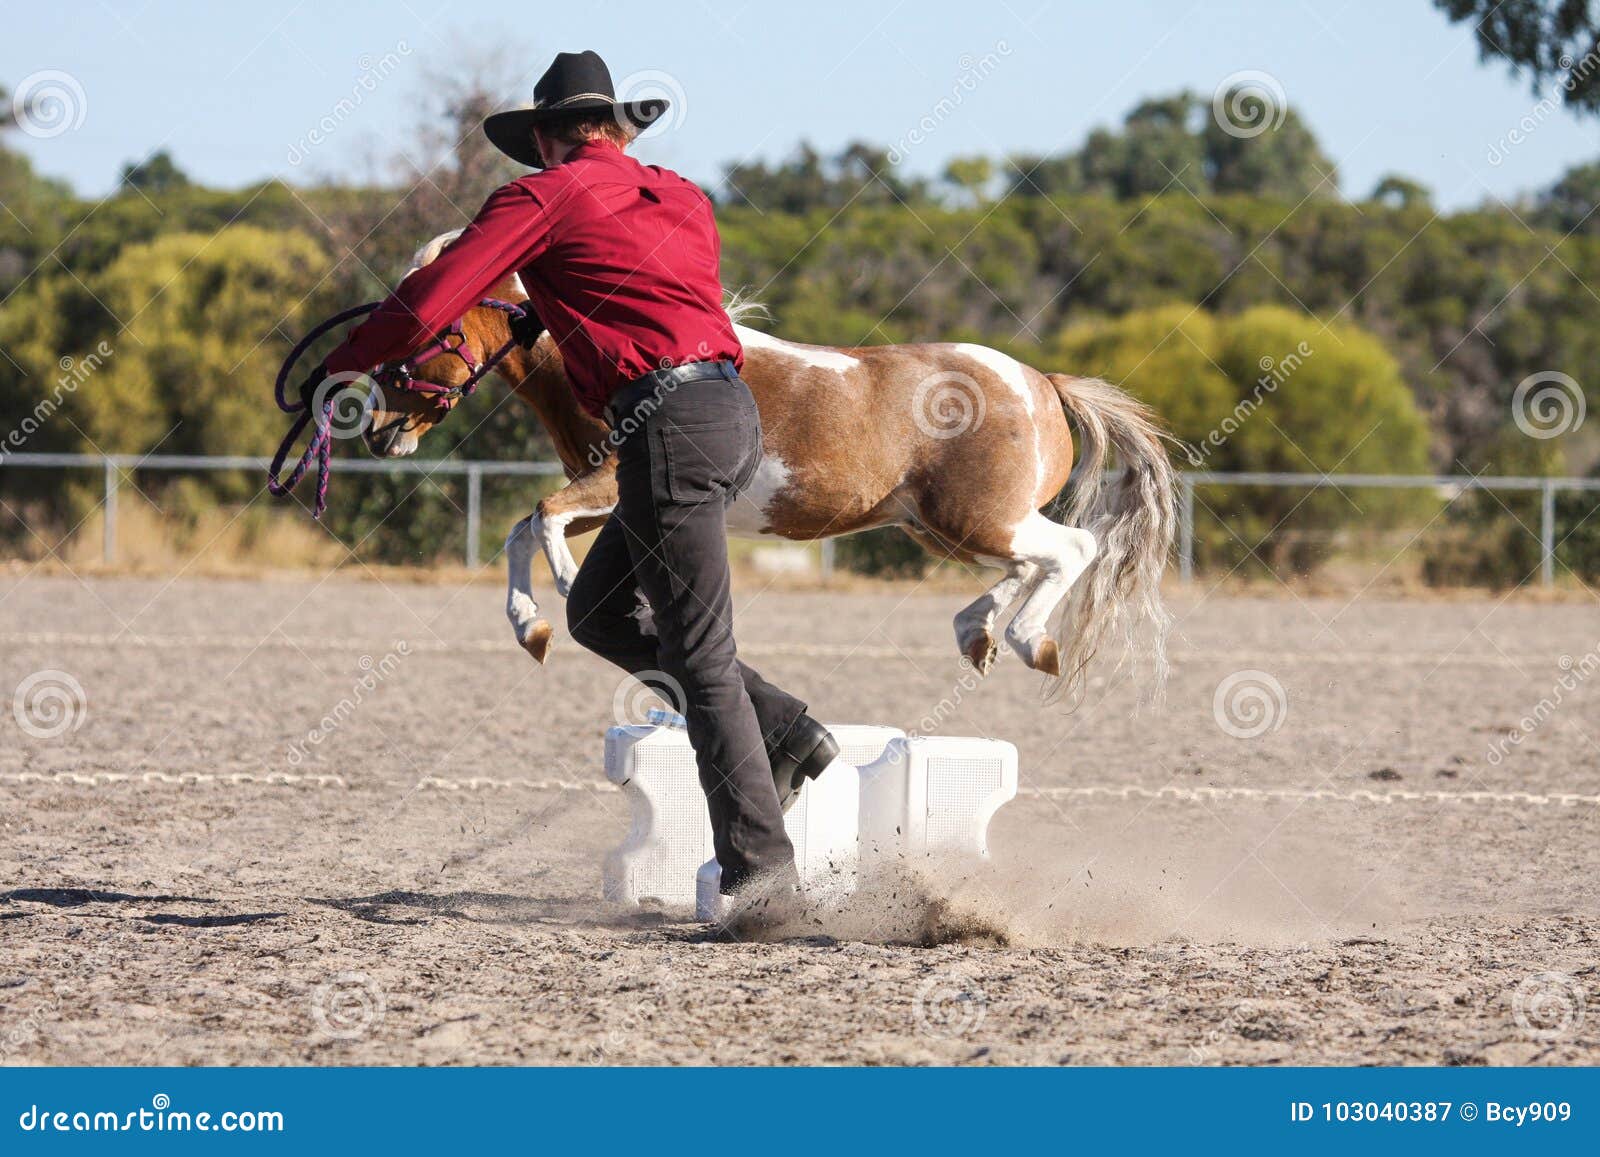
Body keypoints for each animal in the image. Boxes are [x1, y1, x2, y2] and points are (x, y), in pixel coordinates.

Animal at [362, 232, 1177, 701]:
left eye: (424, 325)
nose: (375, 430)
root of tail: (1042, 383)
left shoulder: (608, 488)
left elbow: (541, 518)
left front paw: (559, 592)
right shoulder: (610, 503)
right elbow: (519, 530)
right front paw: (531, 627)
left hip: (977, 517)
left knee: (1071, 548)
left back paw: (1030, 641)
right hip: (941, 527)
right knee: (1027, 565)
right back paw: (977, 631)